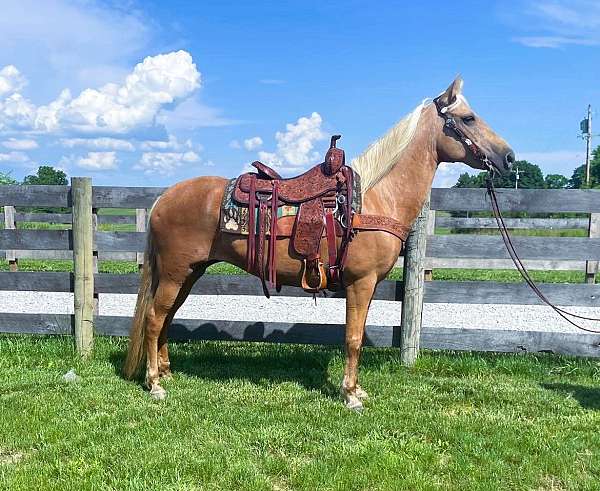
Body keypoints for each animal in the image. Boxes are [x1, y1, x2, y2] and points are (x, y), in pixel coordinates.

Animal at [124, 76, 512, 412]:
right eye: (468, 118)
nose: (508, 157)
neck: (374, 199)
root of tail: (164, 198)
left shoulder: (366, 285)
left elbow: (356, 335)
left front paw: (357, 389)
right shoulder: (360, 283)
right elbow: (353, 339)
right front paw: (350, 395)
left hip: (189, 273)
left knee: (167, 317)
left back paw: (167, 373)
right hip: (175, 273)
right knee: (155, 318)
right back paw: (154, 383)